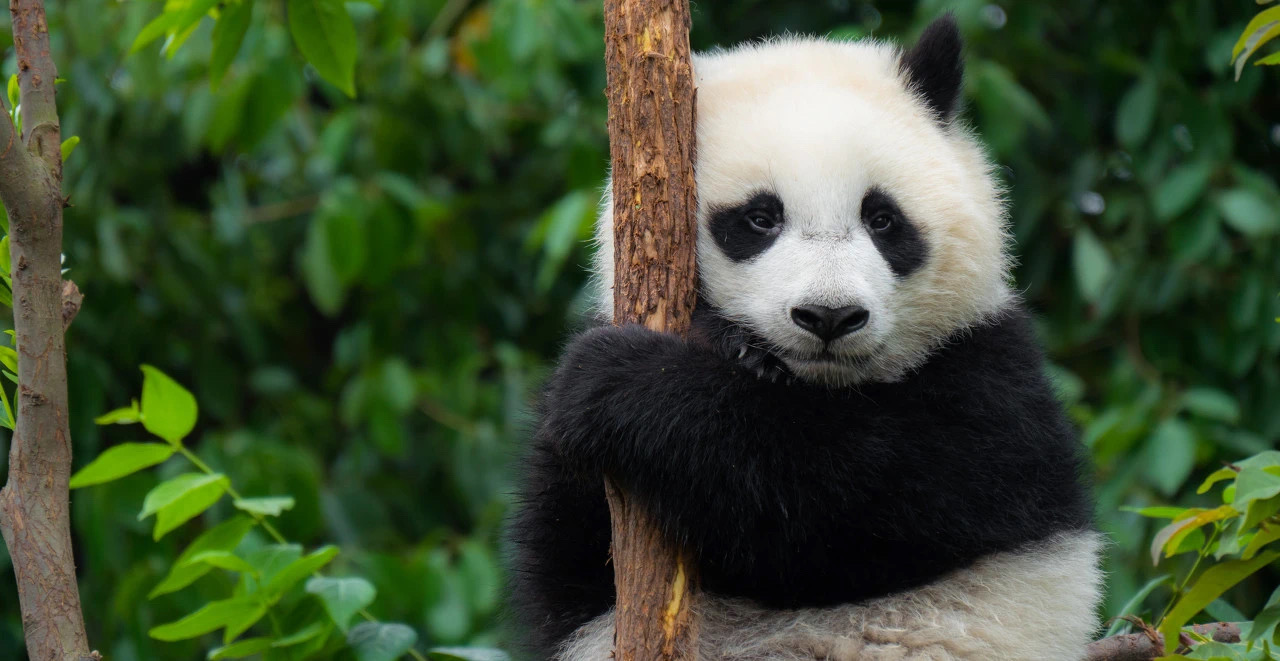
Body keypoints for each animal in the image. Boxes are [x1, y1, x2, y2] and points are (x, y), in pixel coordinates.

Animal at [504, 16, 1105, 661]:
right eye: (760, 218)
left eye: (882, 219)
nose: (829, 317)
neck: (821, 386)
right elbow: (567, 554)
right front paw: (729, 344)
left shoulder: (990, 380)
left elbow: (845, 502)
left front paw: (622, 381)